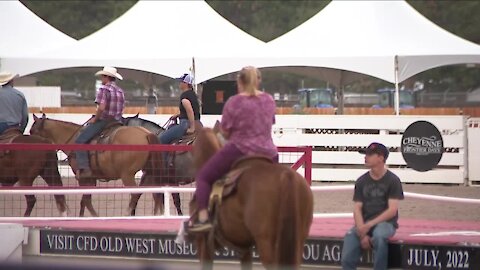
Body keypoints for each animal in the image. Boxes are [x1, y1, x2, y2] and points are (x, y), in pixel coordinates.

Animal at [30, 114, 165, 217]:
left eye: (33, 131)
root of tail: (146, 134)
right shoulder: (91, 178)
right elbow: (85, 200)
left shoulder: (82, 177)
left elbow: (86, 200)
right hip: (150, 172)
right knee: (156, 194)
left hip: (127, 175)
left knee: (136, 194)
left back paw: (127, 214)